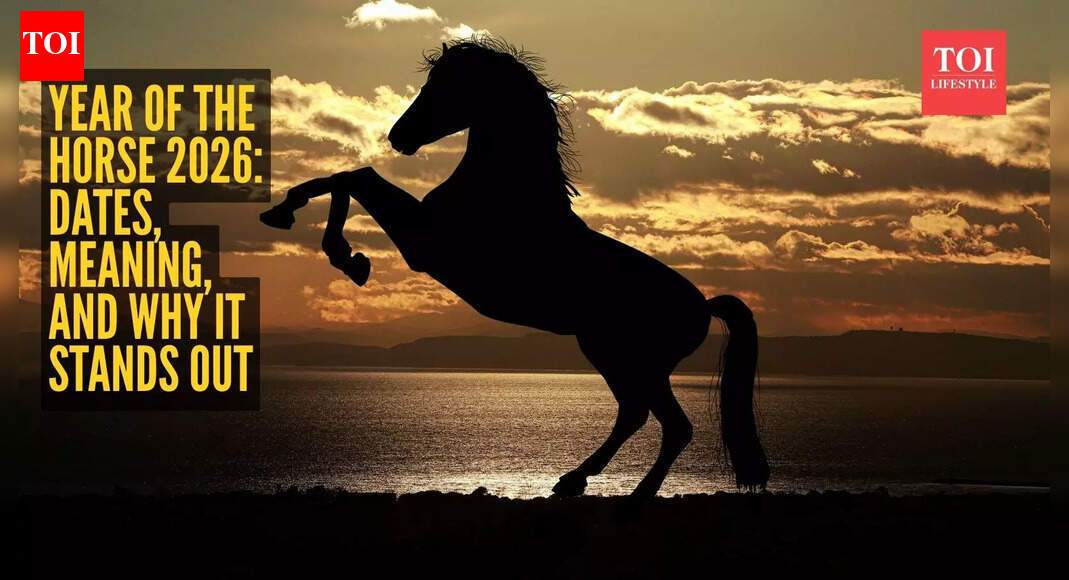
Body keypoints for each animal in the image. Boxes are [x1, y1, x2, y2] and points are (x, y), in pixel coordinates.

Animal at [260, 37, 769, 499]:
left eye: (444, 86)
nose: (397, 138)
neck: (504, 190)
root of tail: (703, 306)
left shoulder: (423, 243)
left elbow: (355, 177)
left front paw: (341, 253)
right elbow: (347, 177)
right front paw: (296, 221)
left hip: (628, 358)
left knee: (668, 423)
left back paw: (632, 495)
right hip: (617, 356)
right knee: (635, 414)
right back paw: (573, 481)